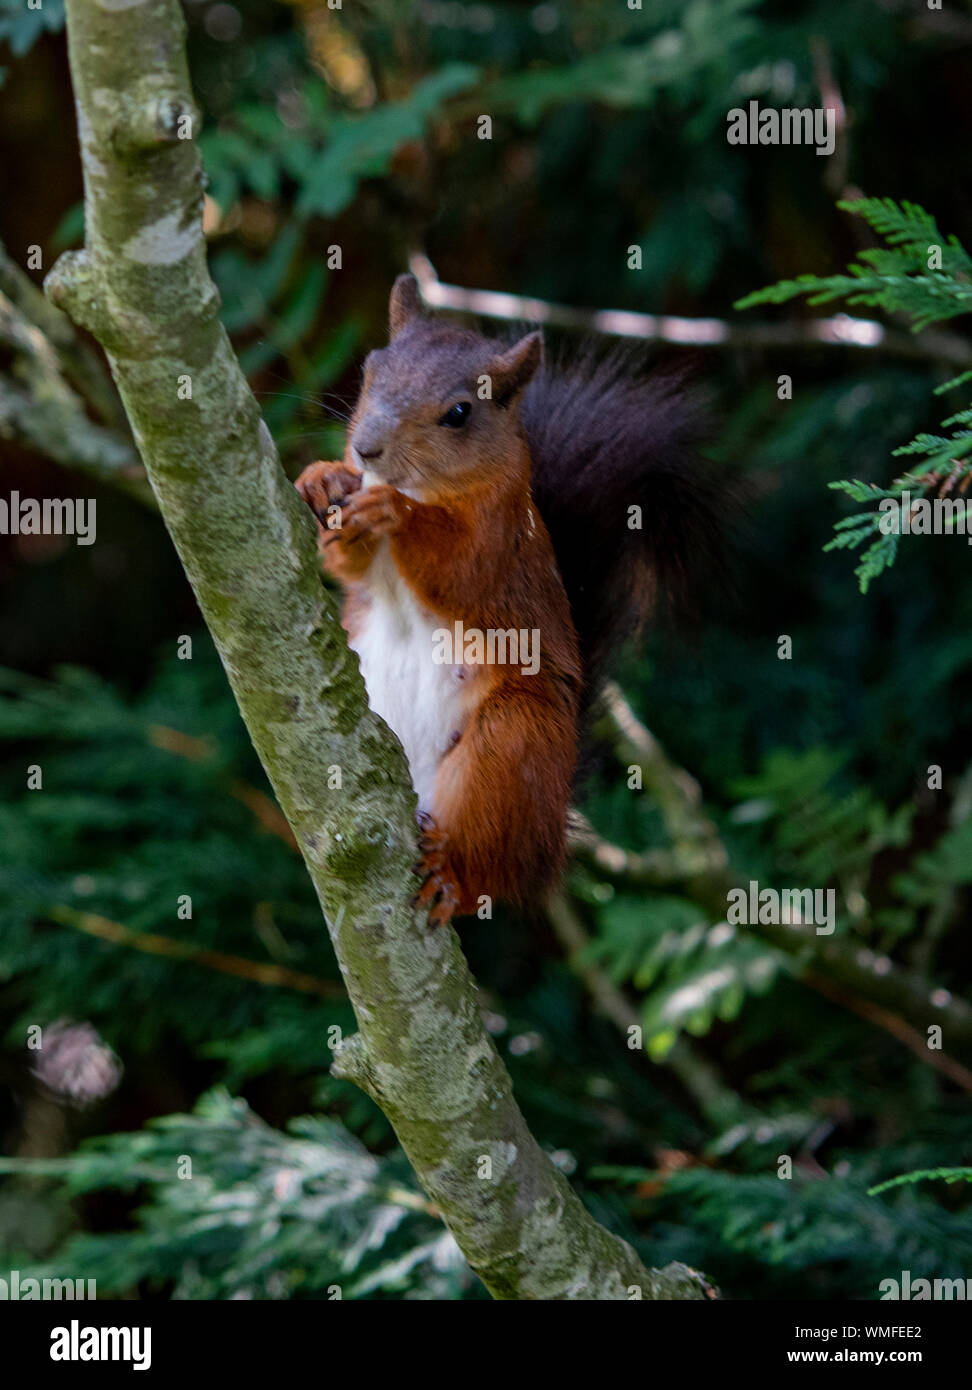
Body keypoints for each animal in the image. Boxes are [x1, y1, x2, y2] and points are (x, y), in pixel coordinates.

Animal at [296, 271, 723, 922]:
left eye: (459, 413)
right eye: (371, 370)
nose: (365, 448)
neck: (426, 487)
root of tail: (548, 843)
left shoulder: (500, 540)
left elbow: (459, 570)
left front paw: (395, 512)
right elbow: (351, 568)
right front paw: (323, 479)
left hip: (514, 744)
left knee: (485, 870)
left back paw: (451, 873)